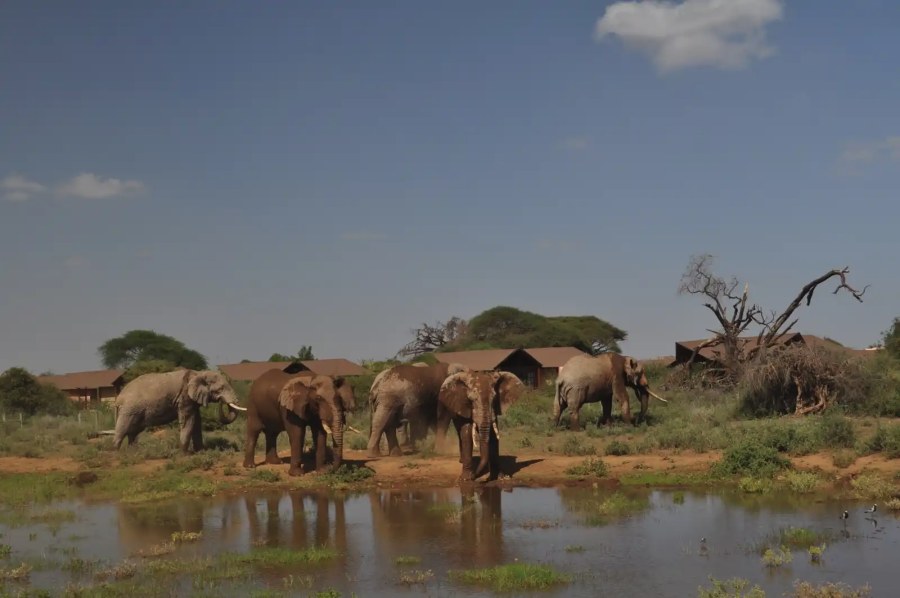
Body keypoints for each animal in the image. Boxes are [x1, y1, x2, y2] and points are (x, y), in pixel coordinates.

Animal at [113, 369, 246, 452]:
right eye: (220, 389)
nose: (221, 401)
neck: (199, 373)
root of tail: (119, 397)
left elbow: (196, 422)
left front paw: (201, 452)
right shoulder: (185, 397)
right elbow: (188, 421)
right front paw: (184, 454)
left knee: (133, 431)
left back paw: (133, 453)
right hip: (129, 409)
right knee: (122, 429)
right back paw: (116, 453)